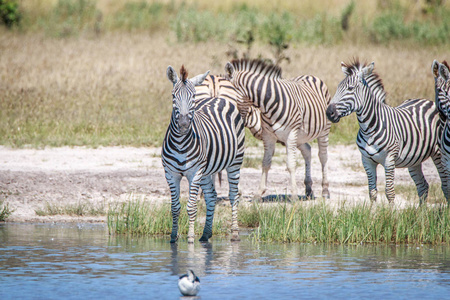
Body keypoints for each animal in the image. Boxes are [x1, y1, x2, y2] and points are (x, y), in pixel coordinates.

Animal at [161, 64, 246, 243]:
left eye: (193, 96)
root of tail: (217, 98)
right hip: (206, 170)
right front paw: (173, 237)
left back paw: (234, 232)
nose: (184, 125)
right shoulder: (170, 173)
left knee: (233, 195)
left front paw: (190, 238)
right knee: (211, 196)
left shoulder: (194, 173)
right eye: (173, 96)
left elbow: (191, 206)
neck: (181, 143)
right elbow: (175, 207)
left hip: (235, 162)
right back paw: (206, 233)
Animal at [224, 58, 330, 199]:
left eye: (227, 96)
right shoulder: (268, 135)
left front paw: (294, 195)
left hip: (323, 130)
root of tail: (310, 75)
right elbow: (265, 163)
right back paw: (308, 188)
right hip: (300, 136)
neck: (268, 105)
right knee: (307, 150)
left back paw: (325, 190)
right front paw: (259, 193)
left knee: (323, 156)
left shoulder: (291, 134)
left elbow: (291, 164)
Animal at [326, 59, 448, 204]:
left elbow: (389, 192)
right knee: (422, 186)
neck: (368, 128)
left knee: (445, 185)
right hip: (414, 159)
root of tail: (426, 101)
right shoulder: (366, 160)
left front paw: (391, 211)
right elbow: (372, 192)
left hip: (438, 154)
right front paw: (372, 211)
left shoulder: (389, 160)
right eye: (338, 87)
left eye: (350, 88)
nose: (329, 112)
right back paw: (421, 211)